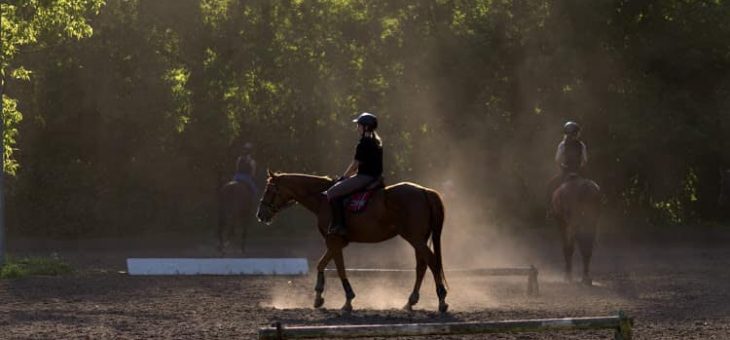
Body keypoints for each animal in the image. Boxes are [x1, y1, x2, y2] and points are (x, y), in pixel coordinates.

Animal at [256, 171, 450, 312]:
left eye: (269, 190)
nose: (260, 214)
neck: (323, 199)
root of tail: (424, 191)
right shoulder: (337, 242)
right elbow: (321, 264)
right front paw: (318, 297)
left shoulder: (334, 241)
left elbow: (340, 268)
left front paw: (348, 300)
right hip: (418, 239)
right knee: (422, 266)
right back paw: (410, 302)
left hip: (415, 238)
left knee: (432, 262)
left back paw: (441, 300)